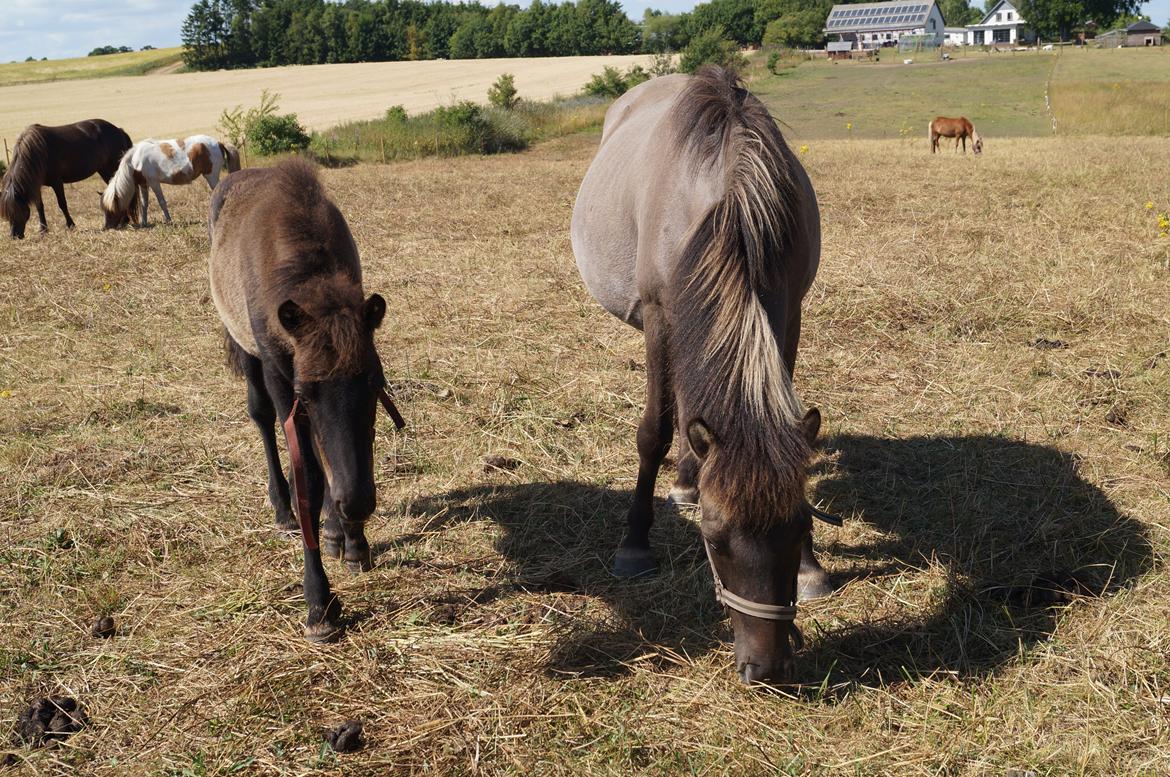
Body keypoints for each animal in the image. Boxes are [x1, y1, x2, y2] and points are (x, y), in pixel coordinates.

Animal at [0, 118, 132, 238]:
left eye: (17, 211)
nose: (14, 236)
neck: (37, 151)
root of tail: (118, 130)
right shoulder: (36, 185)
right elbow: (39, 206)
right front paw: (43, 229)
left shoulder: (57, 182)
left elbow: (62, 204)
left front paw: (70, 225)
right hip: (103, 170)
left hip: (113, 168)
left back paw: (124, 221)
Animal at [102, 134, 242, 228]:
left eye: (110, 209)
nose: (107, 227)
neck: (135, 159)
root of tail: (219, 142)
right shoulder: (144, 184)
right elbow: (144, 204)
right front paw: (144, 223)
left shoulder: (154, 182)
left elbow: (162, 202)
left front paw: (169, 221)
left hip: (211, 176)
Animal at [210, 157, 407, 641]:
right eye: (304, 391)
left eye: (376, 381)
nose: (358, 503)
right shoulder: (281, 374)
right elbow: (311, 481)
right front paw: (319, 603)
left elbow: (337, 461)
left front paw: (352, 542)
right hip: (248, 356)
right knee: (261, 418)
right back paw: (281, 508)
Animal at [570, 68, 837, 688]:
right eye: (714, 541)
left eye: (799, 525)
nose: (766, 666)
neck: (730, 201)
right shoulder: (660, 318)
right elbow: (654, 432)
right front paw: (634, 544)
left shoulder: (787, 311)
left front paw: (811, 569)